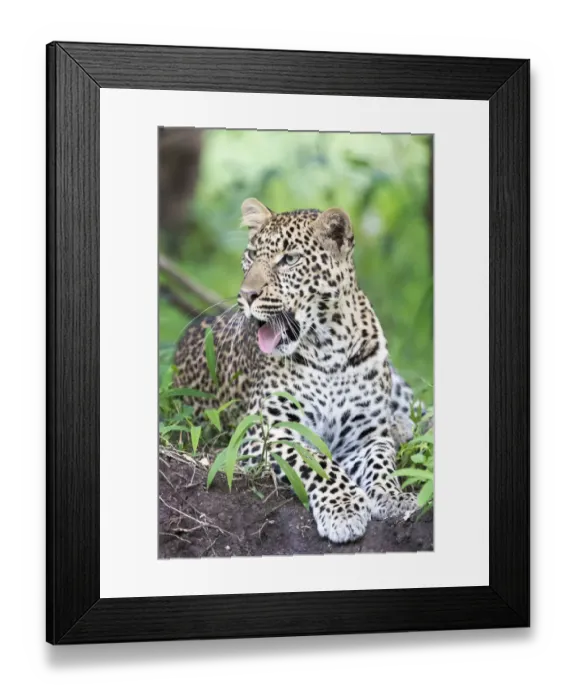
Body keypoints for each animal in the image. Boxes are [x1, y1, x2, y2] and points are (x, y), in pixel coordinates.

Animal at [173, 198, 421, 544]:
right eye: (251, 256)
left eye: (288, 260)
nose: (247, 295)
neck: (329, 349)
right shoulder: (267, 433)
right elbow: (316, 461)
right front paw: (343, 508)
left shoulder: (366, 436)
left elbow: (381, 463)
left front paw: (392, 497)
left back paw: (400, 425)